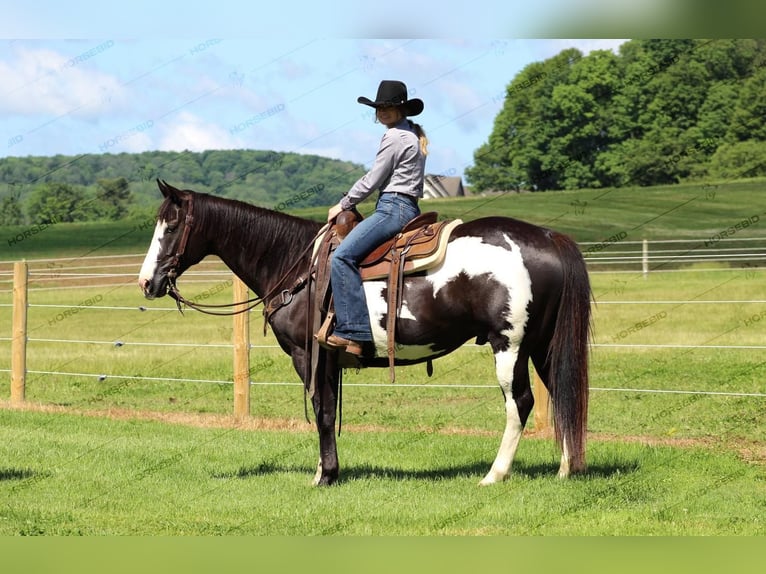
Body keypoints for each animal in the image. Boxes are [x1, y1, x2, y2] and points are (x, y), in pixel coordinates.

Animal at [140, 181, 592, 486]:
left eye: (172, 225)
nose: (147, 282)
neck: (295, 264)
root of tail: (548, 236)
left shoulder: (307, 355)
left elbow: (322, 411)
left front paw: (326, 476)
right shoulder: (328, 359)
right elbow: (327, 409)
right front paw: (324, 470)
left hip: (509, 345)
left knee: (521, 402)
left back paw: (494, 475)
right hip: (543, 345)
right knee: (562, 393)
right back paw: (566, 469)